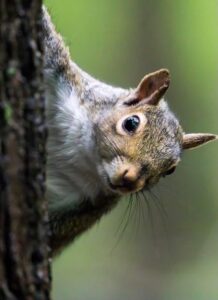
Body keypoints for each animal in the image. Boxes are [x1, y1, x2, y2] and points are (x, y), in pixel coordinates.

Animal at [41, 6, 218, 255]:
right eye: (131, 123)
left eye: (170, 170)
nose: (131, 179)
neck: (84, 155)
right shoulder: (63, 75)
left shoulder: (85, 208)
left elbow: (54, 237)